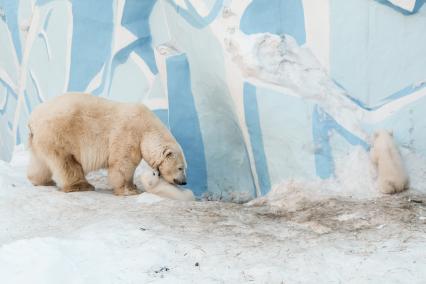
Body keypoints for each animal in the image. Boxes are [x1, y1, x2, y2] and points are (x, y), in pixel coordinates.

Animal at [26, 93, 186, 195]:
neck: (147, 127)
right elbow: (123, 163)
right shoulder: (128, 133)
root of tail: (33, 119)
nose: (184, 182)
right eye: (180, 168)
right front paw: (130, 190)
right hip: (59, 135)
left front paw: (133, 186)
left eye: (184, 167)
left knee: (40, 162)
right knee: (66, 162)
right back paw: (81, 185)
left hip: (40, 139)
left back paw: (43, 181)